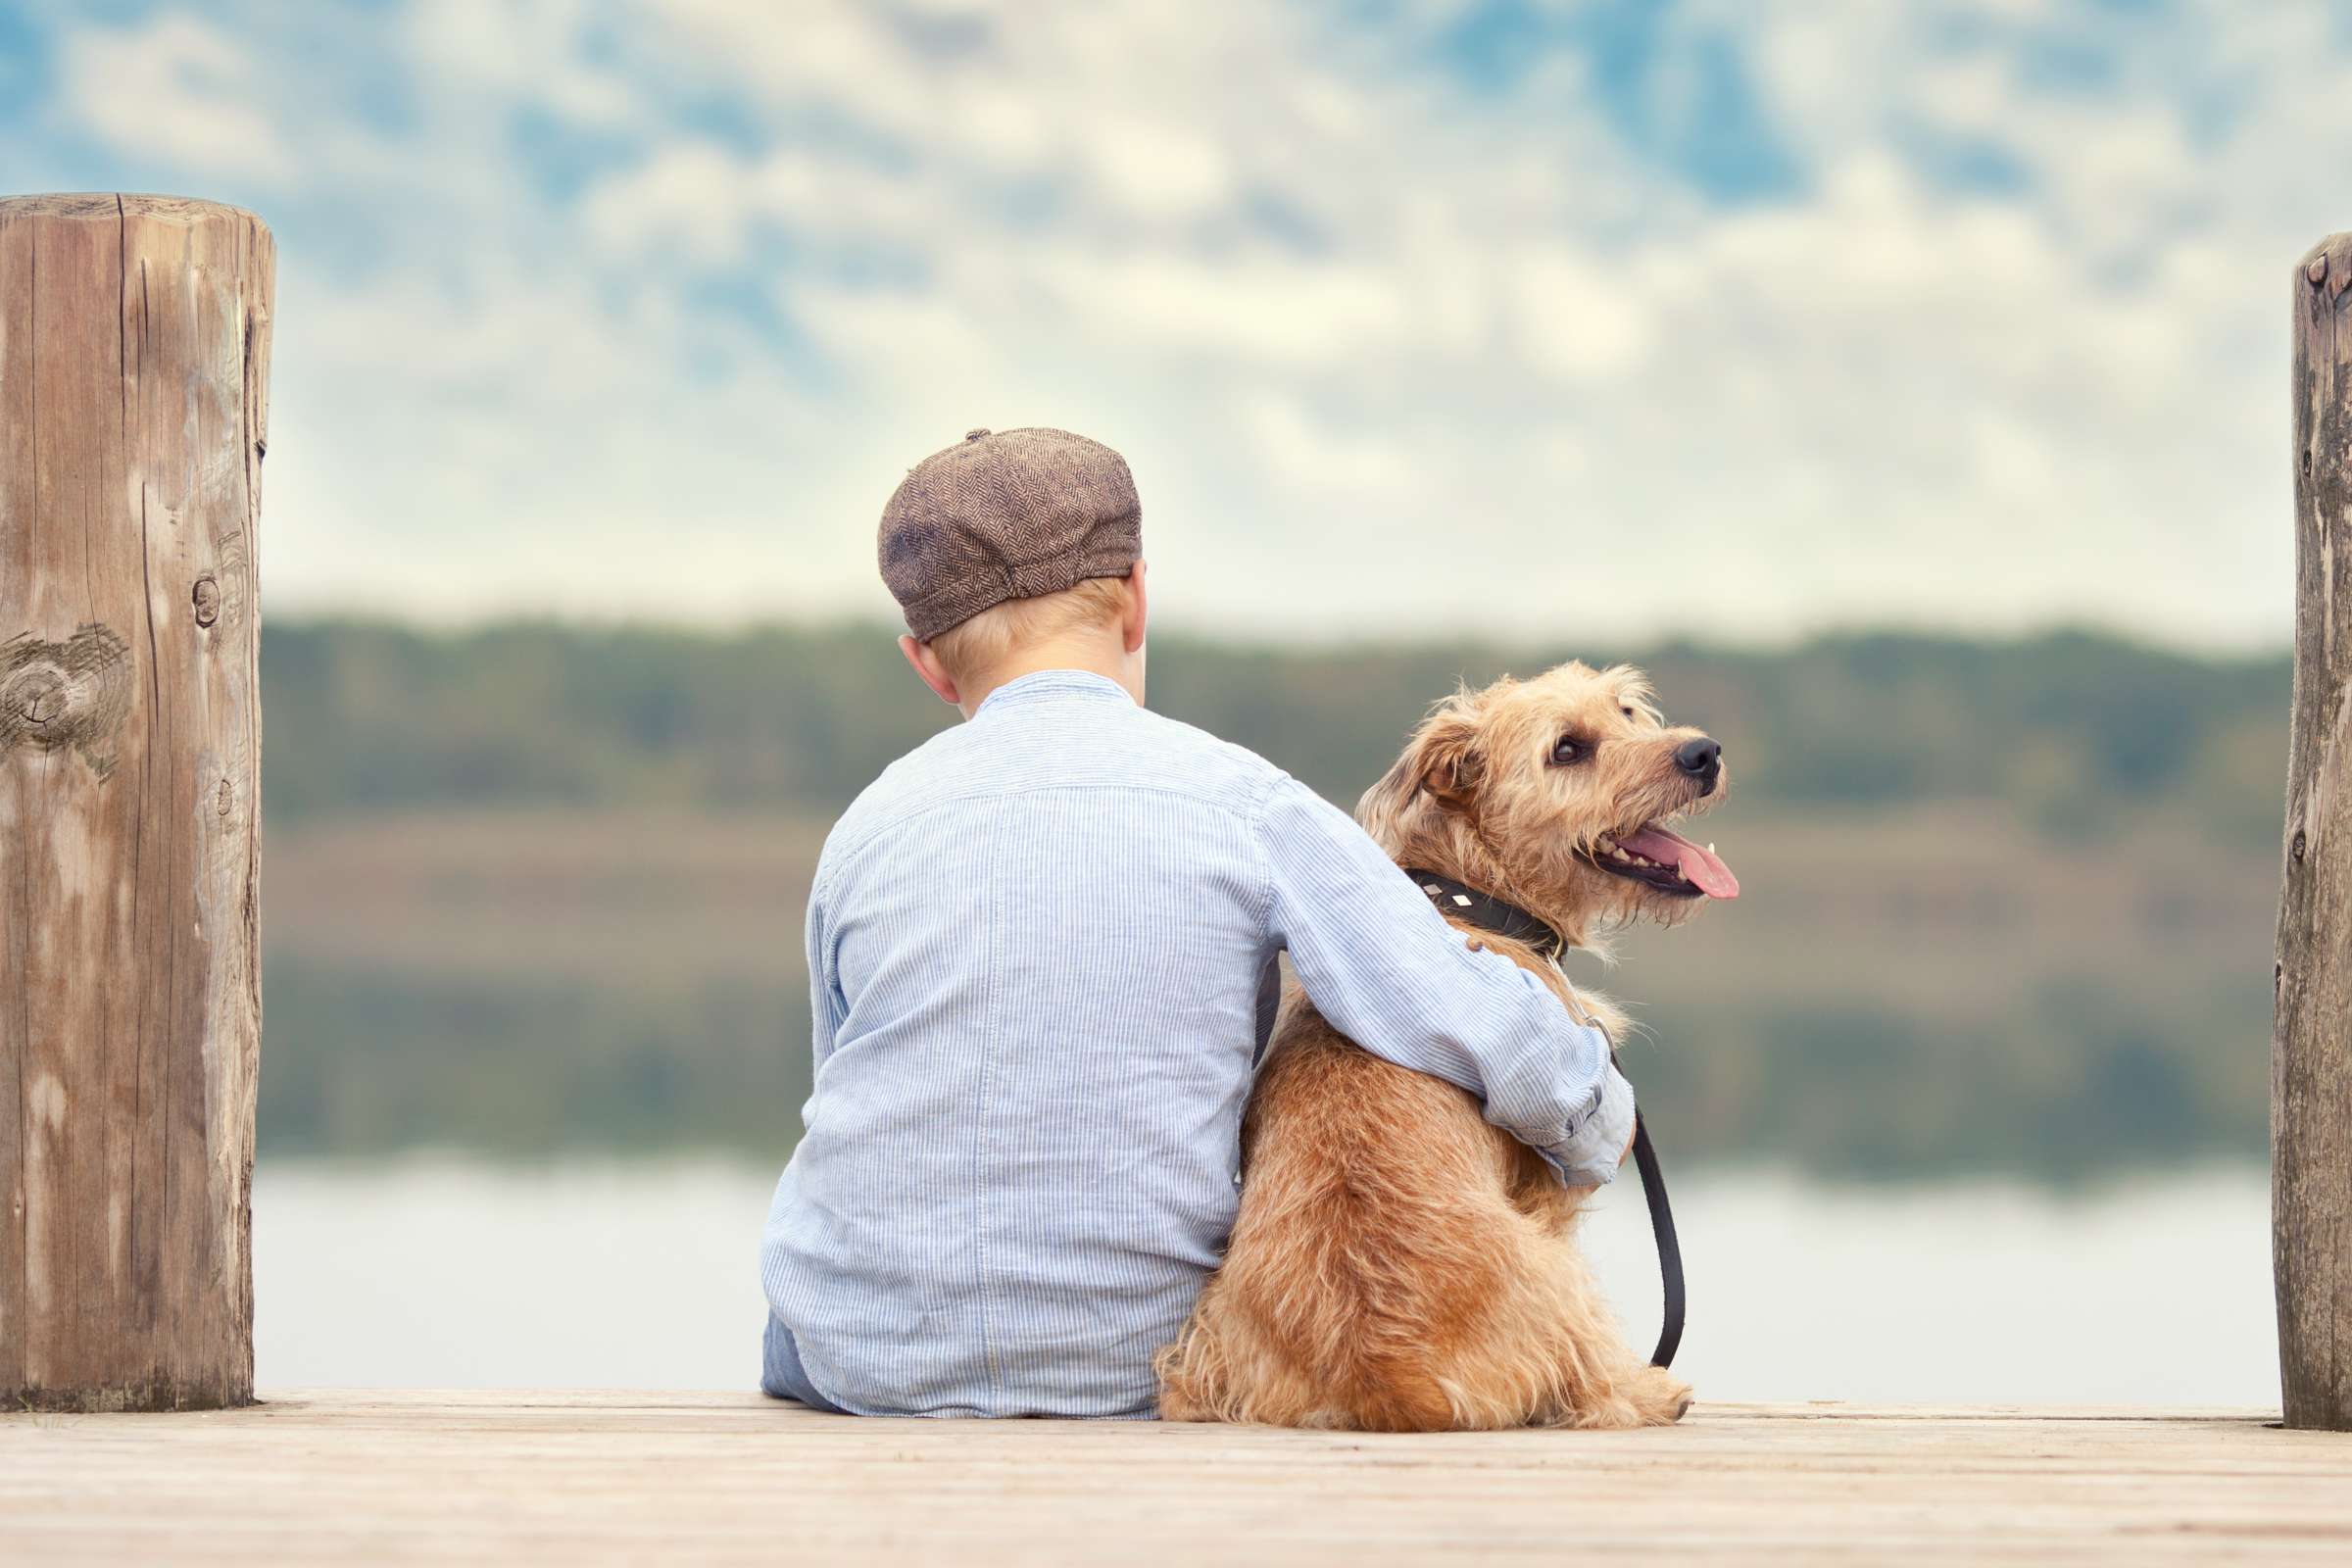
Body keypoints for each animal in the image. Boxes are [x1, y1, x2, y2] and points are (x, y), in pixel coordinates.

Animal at [1148, 662, 1740, 1439]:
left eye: (1627, 711)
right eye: (1568, 750)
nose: (1701, 753)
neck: (1470, 899)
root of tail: (1386, 1370)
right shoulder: (1552, 1187)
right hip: (1560, 1271)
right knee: (1587, 1383)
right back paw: (1649, 1392)